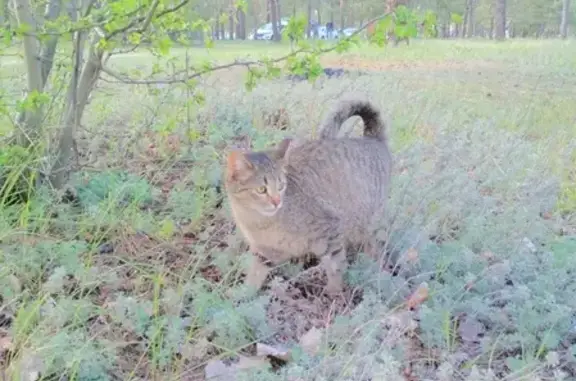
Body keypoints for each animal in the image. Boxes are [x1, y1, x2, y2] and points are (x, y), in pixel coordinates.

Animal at [224, 95, 392, 294]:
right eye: (261, 190)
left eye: (281, 186)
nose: (276, 201)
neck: (259, 222)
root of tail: (373, 139)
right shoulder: (265, 253)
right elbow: (254, 276)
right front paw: (241, 297)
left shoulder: (331, 230)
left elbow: (336, 265)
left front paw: (334, 291)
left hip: (368, 222)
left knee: (374, 244)